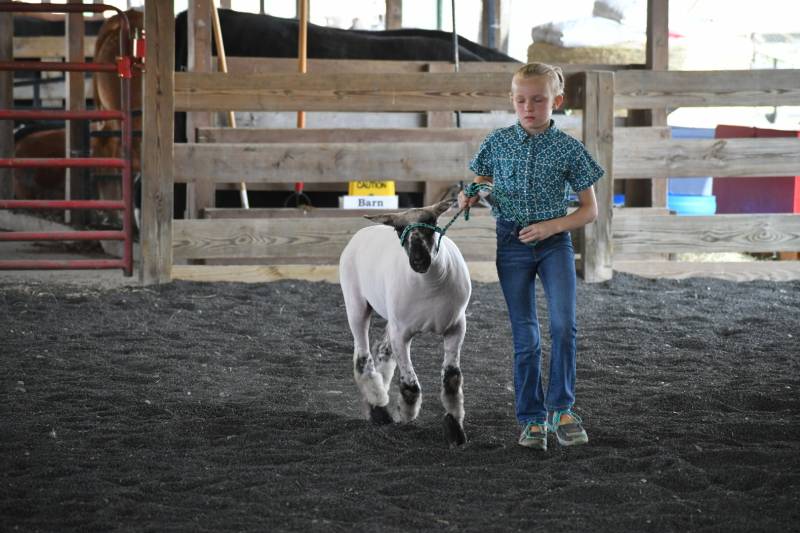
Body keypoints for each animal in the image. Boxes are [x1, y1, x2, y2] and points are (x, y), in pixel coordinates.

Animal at [336, 200, 472, 444]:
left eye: (431, 222)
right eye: (399, 229)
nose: (419, 260)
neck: (430, 285)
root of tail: (363, 231)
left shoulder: (456, 327)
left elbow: (451, 380)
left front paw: (455, 429)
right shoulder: (402, 334)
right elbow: (410, 385)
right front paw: (407, 414)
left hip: (392, 318)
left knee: (382, 350)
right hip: (355, 304)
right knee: (362, 358)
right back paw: (379, 409)